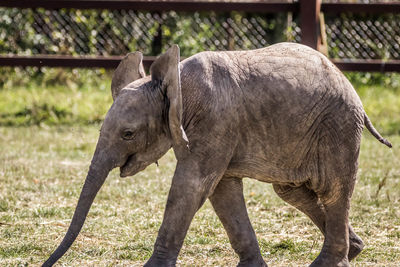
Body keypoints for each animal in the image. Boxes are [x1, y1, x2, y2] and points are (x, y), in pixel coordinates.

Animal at [42, 43, 392, 266]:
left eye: (128, 134)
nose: (47, 263)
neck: (177, 82)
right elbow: (222, 192)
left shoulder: (217, 121)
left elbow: (191, 187)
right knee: (292, 192)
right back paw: (355, 250)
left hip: (337, 127)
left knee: (332, 191)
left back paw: (330, 262)